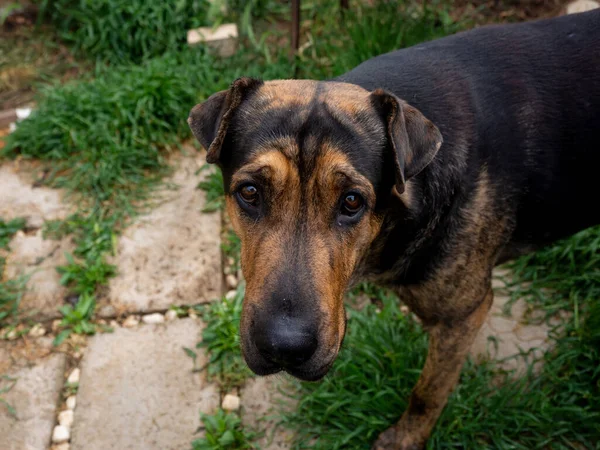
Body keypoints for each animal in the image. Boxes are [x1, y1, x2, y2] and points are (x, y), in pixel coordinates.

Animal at [189, 10, 600, 450]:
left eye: (352, 202)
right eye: (250, 192)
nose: (284, 347)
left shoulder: (463, 316)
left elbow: (429, 390)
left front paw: (405, 437)